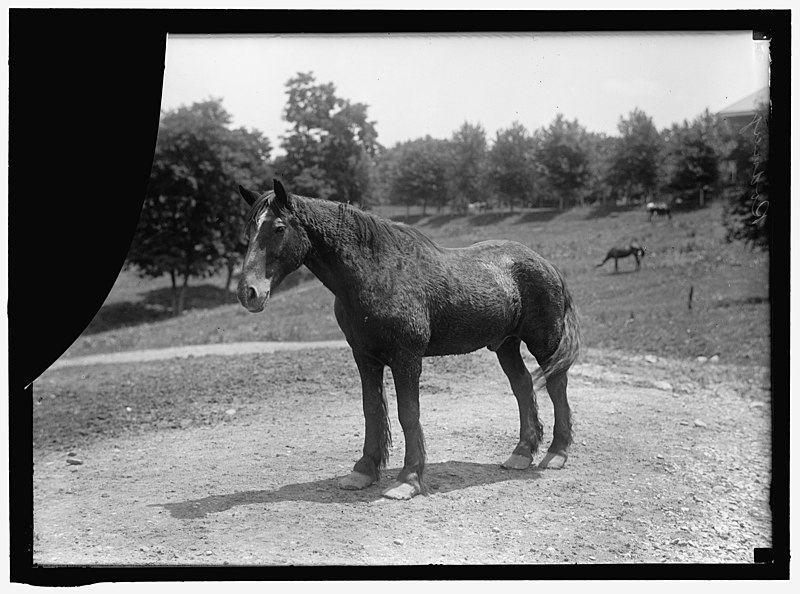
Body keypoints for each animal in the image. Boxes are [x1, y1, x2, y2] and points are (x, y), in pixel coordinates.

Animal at [234, 178, 580, 498]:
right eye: (249, 230)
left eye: (278, 228)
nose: (249, 292)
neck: (377, 273)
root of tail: (547, 264)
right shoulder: (364, 357)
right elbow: (372, 410)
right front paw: (363, 471)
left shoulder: (406, 358)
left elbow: (408, 414)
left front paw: (408, 479)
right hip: (506, 345)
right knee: (523, 386)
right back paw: (521, 454)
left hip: (544, 343)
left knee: (556, 385)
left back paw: (557, 454)